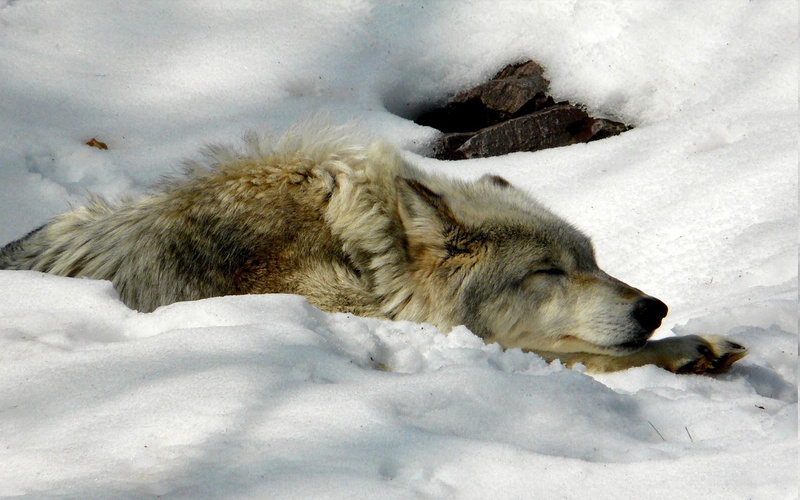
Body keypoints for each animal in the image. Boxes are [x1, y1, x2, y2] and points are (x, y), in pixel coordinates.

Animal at [0, 124, 746, 373]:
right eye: (547, 271)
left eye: (593, 262)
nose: (654, 308)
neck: (363, 254)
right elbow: (567, 351)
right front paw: (686, 347)